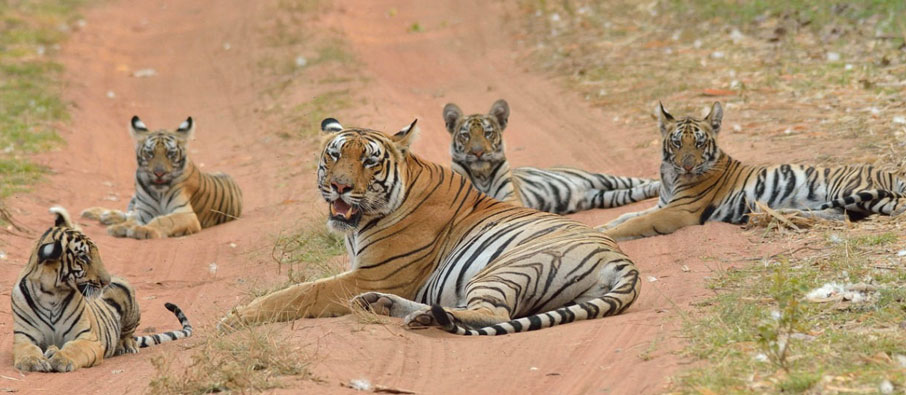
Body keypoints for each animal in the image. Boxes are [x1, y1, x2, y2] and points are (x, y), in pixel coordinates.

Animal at [11, 207, 192, 374]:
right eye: (84, 257)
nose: (107, 281)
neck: (51, 293)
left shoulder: (87, 338)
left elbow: (74, 348)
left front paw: (61, 358)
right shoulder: (24, 337)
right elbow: (27, 349)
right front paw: (33, 361)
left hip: (126, 292)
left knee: (127, 334)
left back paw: (126, 345)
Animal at [81, 114, 242, 238]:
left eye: (170, 154)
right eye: (150, 153)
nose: (159, 173)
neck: (158, 192)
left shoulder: (185, 214)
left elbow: (163, 220)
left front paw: (142, 230)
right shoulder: (143, 211)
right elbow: (133, 218)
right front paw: (120, 227)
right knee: (129, 212)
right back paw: (101, 214)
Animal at [218, 116, 640, 336]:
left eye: (369, 161)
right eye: (334, 155)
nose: (340, 186)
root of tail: (624, 261)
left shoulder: (371, 274)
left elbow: (299, 292)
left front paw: (235, 318)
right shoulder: (366, 276)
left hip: (508, 267)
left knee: (495, 313)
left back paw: (421, 316)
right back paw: (395, 308)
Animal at [440, 100, 656, 215]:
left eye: (488, 133)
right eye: (465, 135)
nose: (477, 152)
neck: (482, 174)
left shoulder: (511, 199)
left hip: (602, 178)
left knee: (642, 180)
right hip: (602, 197)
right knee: (633, 191)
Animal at [600, 101, 904, 241]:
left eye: (699, 142)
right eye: (676, 142)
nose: (688, 165)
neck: (670, 177)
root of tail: (890, 173)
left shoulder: (678, 211)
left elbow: (634, 222)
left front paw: (606, 235)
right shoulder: (664, 204)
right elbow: (626, 215)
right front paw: (599, 226)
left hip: (846, 187)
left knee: (865, 211)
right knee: (835, 215)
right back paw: (778, 215)